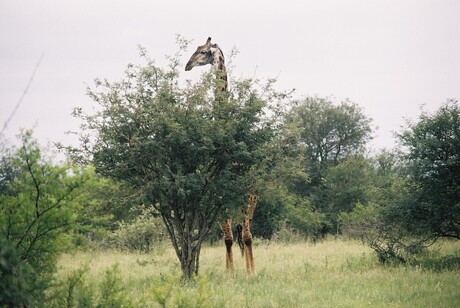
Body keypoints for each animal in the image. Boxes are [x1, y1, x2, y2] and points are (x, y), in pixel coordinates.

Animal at [185, 37, 256, 276]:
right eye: (195, 49)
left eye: (204, 52)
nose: (187, 65)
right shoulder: (218, 195)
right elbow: (228, 239)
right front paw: (230, 274)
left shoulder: (246, 194)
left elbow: (247, 237)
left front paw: (252, 273)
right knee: (231, 236)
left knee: (245, 235)